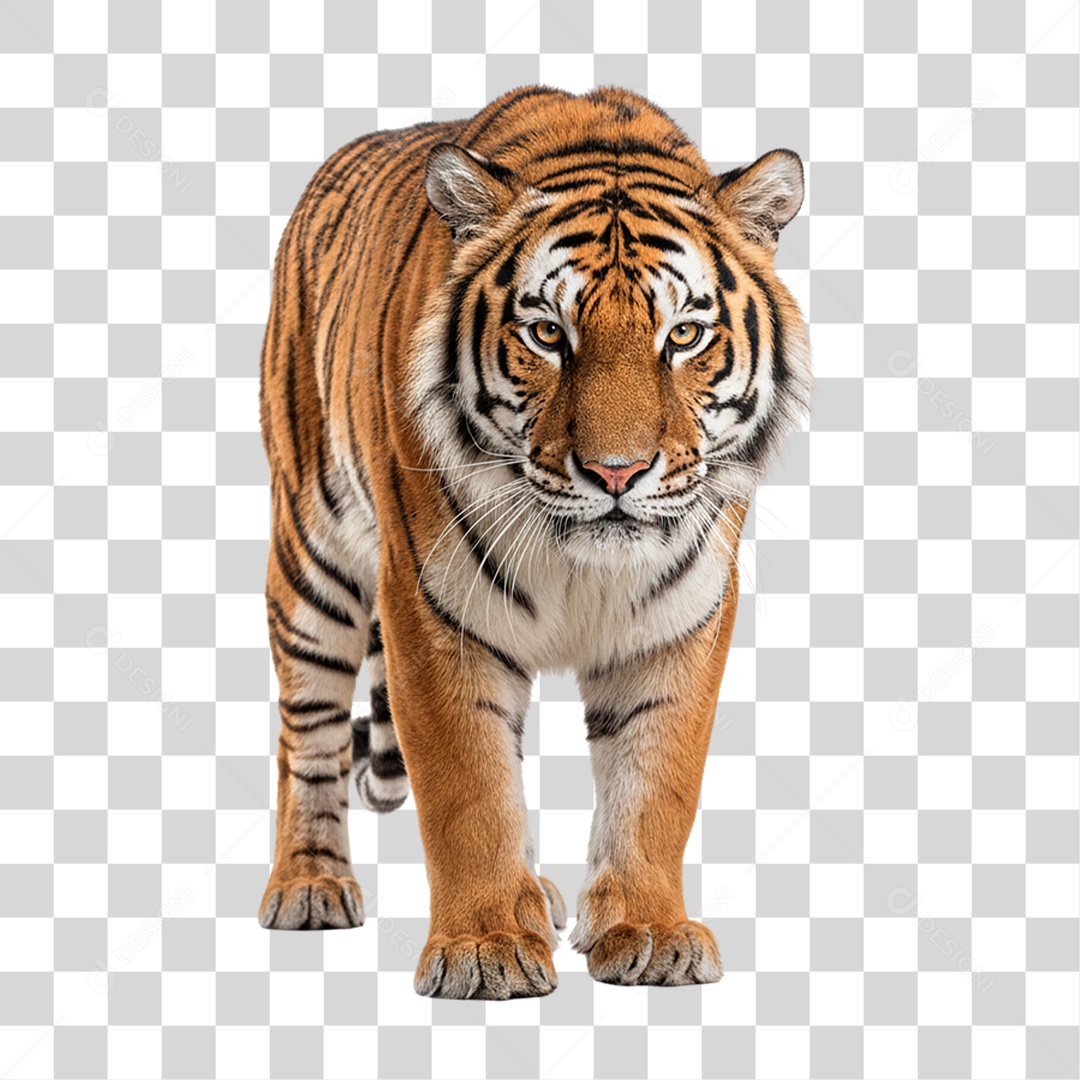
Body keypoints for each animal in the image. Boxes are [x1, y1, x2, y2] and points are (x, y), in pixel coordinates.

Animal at [257, 85, 811, 998]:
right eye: (548, 334)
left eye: (683, 336)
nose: (617, 472)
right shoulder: (430, 606)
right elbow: (467, 785)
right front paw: (483, 947)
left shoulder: (684, 616)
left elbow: (655, 783)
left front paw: (649, 931)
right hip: (312, 553)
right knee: (307, 728)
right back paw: (310, 884)